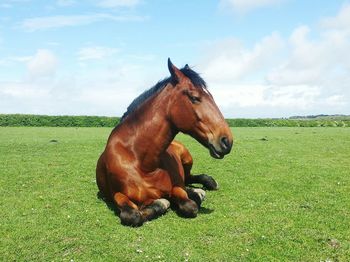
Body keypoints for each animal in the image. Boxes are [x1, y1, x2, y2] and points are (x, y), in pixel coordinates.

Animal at [95, 58, 232, 226]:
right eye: (194, 98)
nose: (226, 141)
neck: (141, 161)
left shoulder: (177, 187)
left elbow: (189, 204)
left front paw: (193, 195)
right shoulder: (117, 194)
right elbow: (132, 215)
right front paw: (162, 202)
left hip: (187, 159)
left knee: (189, 177)